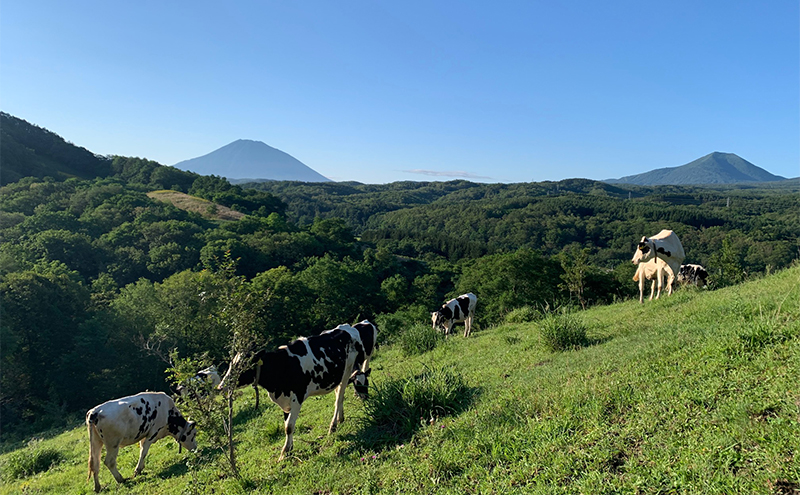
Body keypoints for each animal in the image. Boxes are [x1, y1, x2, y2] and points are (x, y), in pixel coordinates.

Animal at [216, 322, 378, 462]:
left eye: (243, 366)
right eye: (231, 364)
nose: (221, 387)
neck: (282, 366)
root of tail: (346, 328)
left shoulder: (297, 397)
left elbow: (289, 426)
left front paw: (284, 453)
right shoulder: (285, 400)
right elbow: (287, 424)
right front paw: (290, 448)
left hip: (347, 371)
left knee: (339, 398)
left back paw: (333, 426)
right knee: (339, 394)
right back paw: (340, 418)